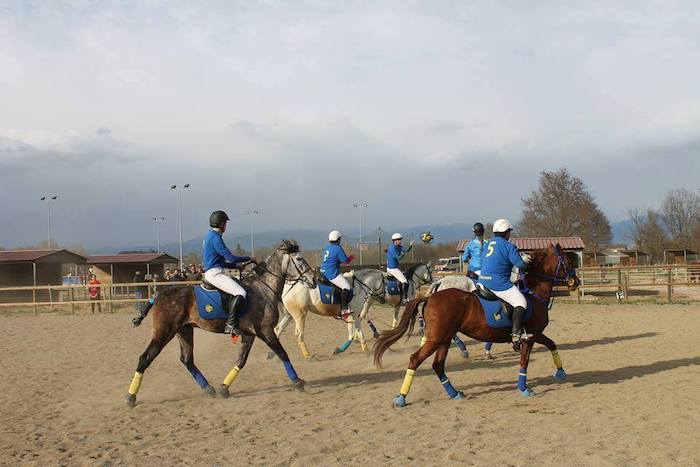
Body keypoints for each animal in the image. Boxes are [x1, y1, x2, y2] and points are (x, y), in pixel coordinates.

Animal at [123, 243, 314, 408]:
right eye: (299, 259)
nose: (313, 279)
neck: (263, 289)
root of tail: (158, 295)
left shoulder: (249, 334)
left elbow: (241, 360)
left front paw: (224, 388)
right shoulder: (265, 331)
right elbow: (282, 354)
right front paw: (298, 382)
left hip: (184, 331)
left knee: (187, 360)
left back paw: (209, 389)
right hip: (164, 332)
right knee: (145, 358)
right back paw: (131, 397)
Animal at [374, 243, 576, 408]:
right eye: (567, 261)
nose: (576, 282)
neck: (533, 292)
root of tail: (431, 295)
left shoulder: (536, 334)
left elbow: (551, 344)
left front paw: (560, 372)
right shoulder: (530, 336)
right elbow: (524, 361)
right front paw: (524, 388)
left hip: (443, 339)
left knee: (438, 365)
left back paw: (454, 393)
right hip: (437, 338)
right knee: (415, 359)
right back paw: (401, 398)